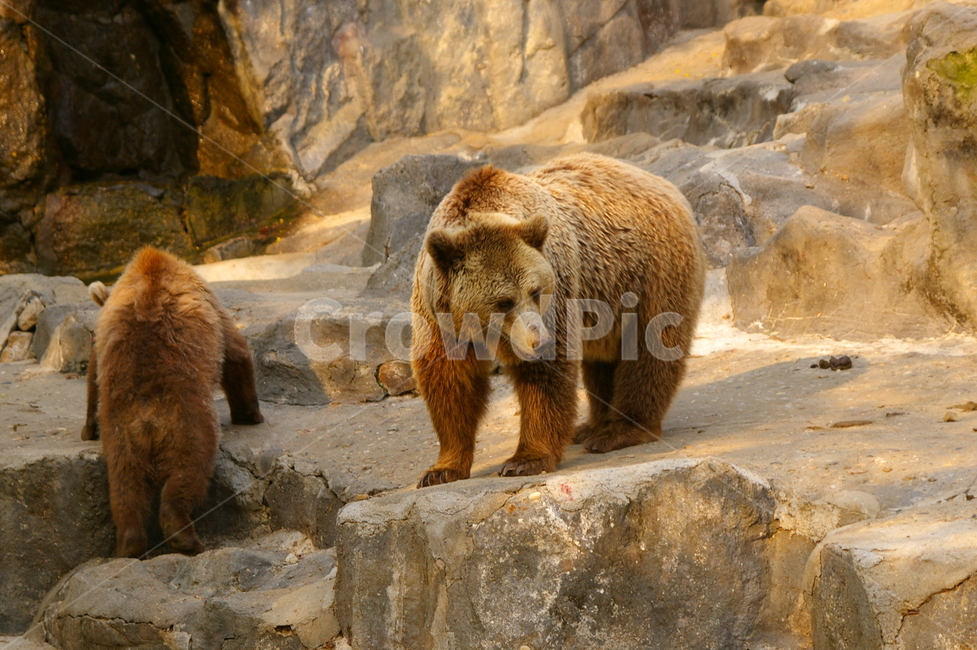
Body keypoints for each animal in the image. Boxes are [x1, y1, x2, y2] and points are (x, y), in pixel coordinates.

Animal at [81, 247, 264, 557]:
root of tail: (147, 418)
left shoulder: (105, 339)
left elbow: (94, 373)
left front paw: (86, 428)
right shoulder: (212, 306)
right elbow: (236, 353)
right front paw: (251, 413)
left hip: (119, 434)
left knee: (125, 489)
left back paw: (129, 544)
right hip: (188, 420)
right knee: (189, 472)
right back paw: (185, 537)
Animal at [411, 153, 706, 487]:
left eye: (535, 291)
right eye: (503, 302)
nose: (538, 341)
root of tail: (662, 183)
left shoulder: (559, 289)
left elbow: (547, 377)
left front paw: (525, 460)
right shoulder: (437, 316)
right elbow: (450, 382)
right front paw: (441, 469)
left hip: (651, 273)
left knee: (651, 351)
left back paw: (619, 430)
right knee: (603, 361)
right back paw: (591, 426)